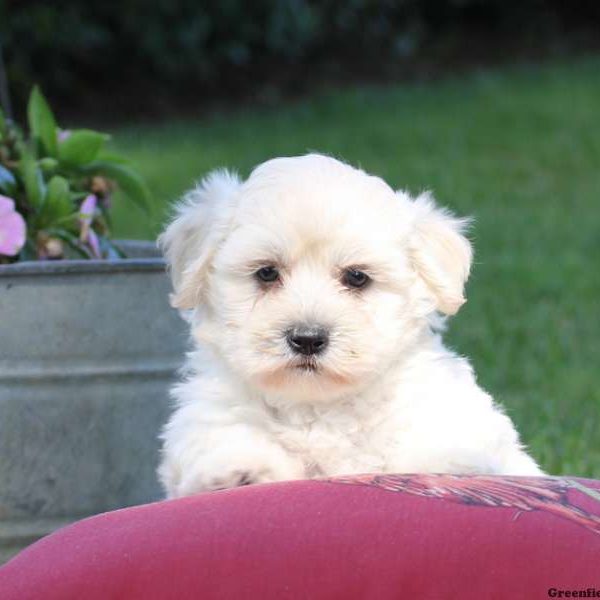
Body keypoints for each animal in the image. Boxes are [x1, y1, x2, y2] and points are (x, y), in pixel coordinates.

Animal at [157, 154, 540, 496]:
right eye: (266, 273)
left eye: (357, 277)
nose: (307, 338)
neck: (320, 406)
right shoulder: (211, 412)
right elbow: (227, 435)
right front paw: (240, 470)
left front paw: (450, 467)